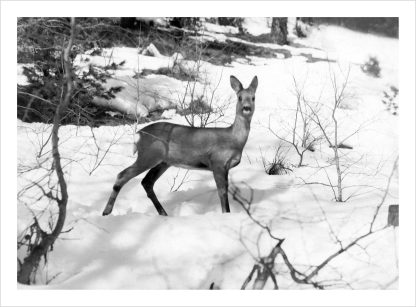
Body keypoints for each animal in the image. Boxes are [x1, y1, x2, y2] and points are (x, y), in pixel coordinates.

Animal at [103, 75, 256, 217]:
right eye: (240, 97)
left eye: (253, 97)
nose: (246, 108)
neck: (234, 140)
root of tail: (138, 134)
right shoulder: (217, 162)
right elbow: (222, 193)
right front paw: (226, 214)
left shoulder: (225, 167)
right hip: (149, 155)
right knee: (122, 175)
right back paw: (106, 212)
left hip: (163, 161)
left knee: (147, 182)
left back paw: (163, 213)